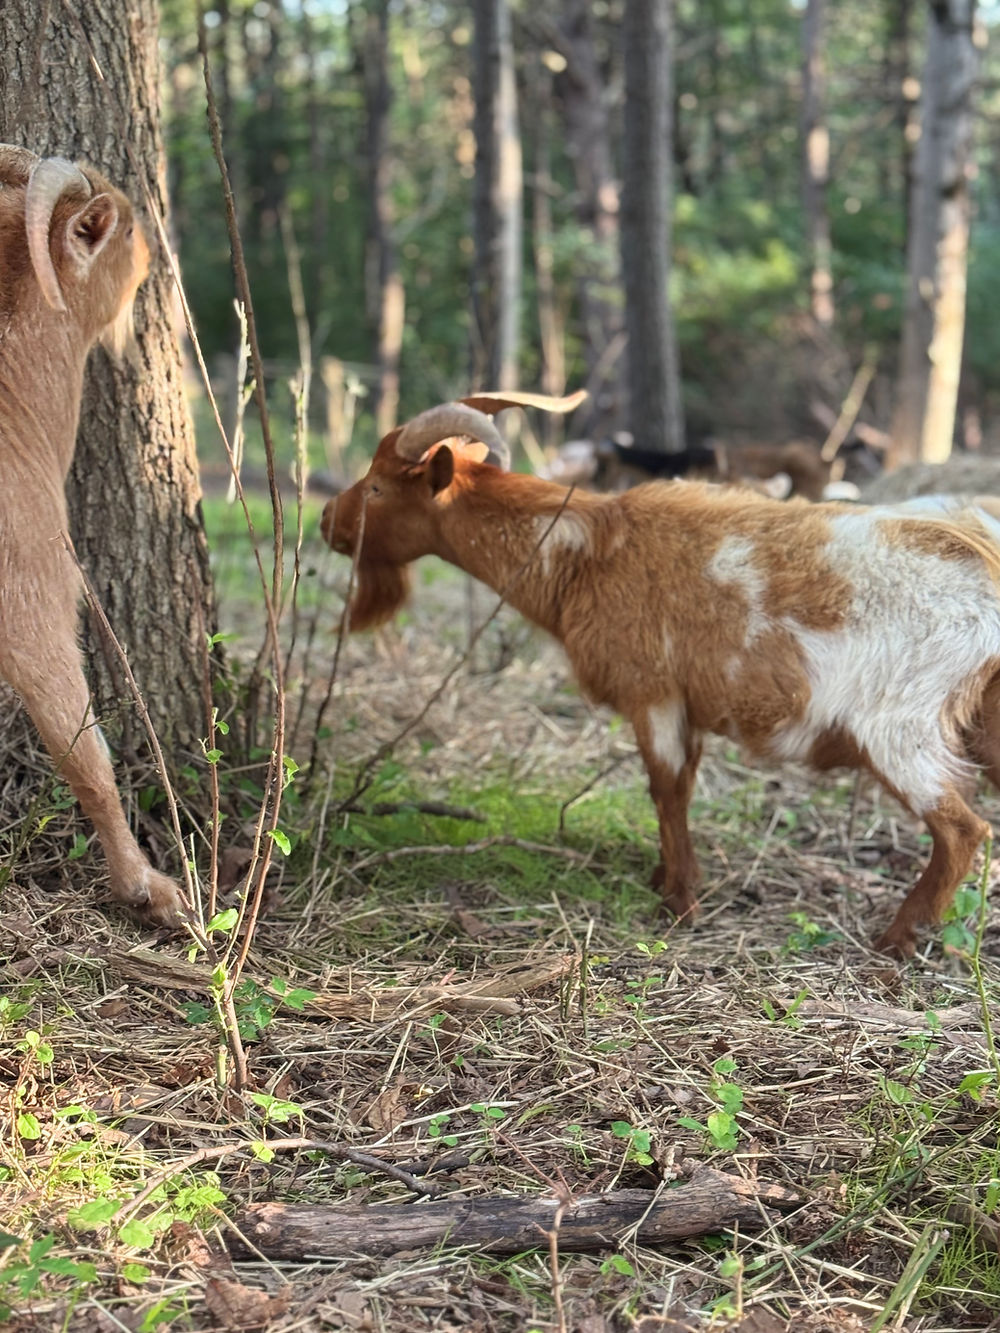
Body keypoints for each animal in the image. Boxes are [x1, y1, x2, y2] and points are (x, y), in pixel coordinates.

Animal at [322, 389, 1000, 960]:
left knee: (962, 831)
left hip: (901, 729)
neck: (586, 553)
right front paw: (665, 879)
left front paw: (679, 903)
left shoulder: (653, 694)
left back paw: (898, 938)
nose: (327, 519)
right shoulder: (688, 706)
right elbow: (681, 788)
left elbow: (666, 790)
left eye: (378, 487)